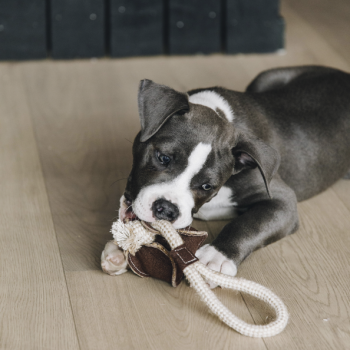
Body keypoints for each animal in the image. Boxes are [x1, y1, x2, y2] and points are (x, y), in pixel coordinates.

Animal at [101, 65, 350, 284]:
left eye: (207, 186)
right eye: (163, 158)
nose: (167, 210)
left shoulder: (283, 200)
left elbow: (249, 223)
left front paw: (216, 257)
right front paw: (121, 247)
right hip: (265, 78)